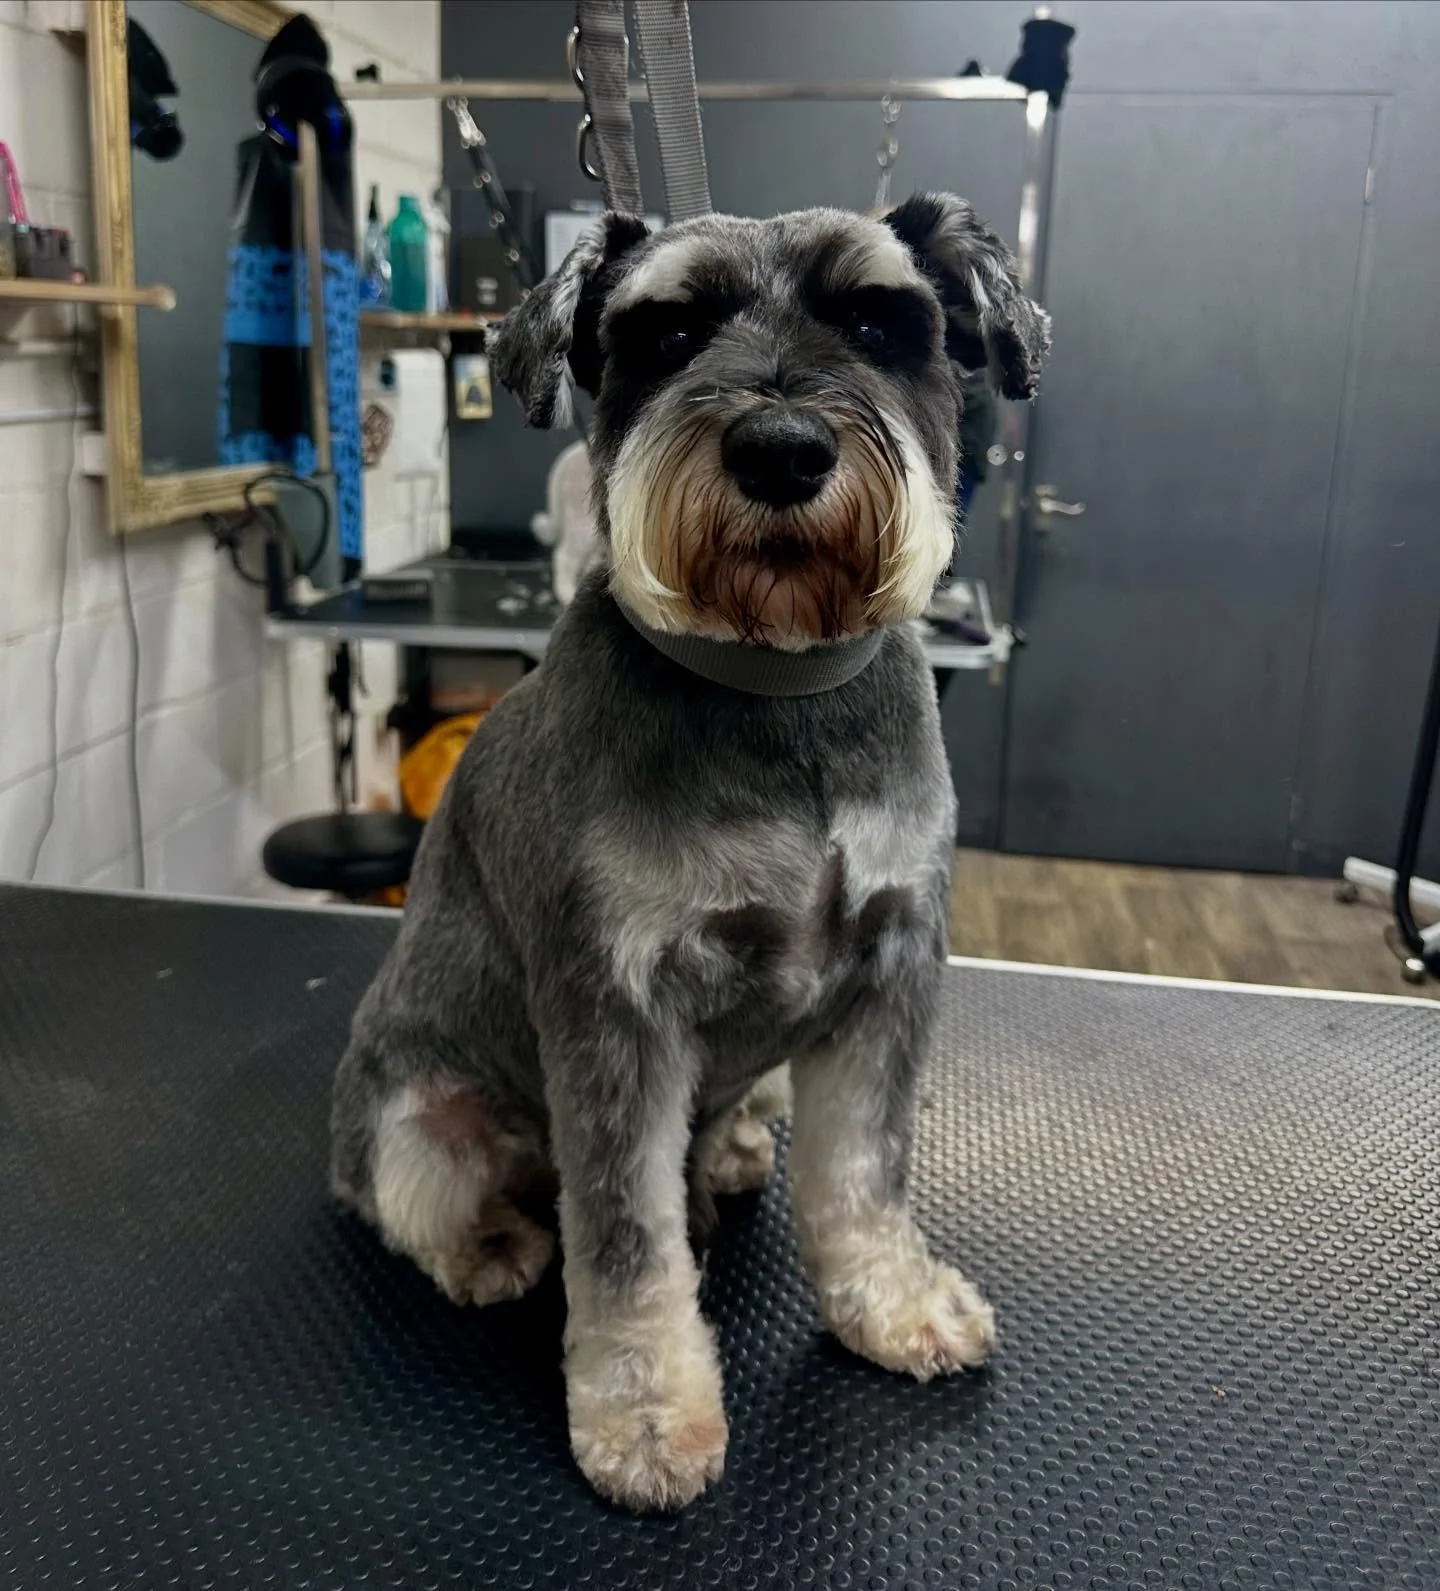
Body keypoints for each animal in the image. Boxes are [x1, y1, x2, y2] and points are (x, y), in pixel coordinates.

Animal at [330, 193, 1050, 1511]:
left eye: (880, 321)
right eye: (664, 334)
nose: (781, 449)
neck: (773, 686)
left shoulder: (890, 968)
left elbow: (865, 1167)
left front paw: (894, 1303)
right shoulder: (615, 1005)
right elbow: (625, 1235)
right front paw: (647, 1409)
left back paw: (733, 1149)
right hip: (418, 1113)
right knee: (422, 1195)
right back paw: (491, 1239)